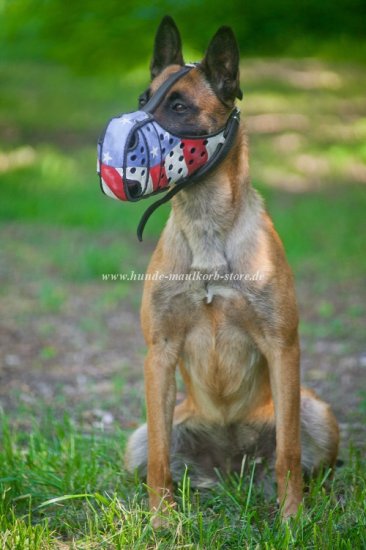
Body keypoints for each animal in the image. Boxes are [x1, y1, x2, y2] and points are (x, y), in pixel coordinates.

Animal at [123, 15, 340, 528]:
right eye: (143, 100)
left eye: (179, 106)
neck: (207, 227)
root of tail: (229, 470)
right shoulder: (159, 354)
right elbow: (160, 460)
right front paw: (161, 523)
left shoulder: (283, 348)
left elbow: (288, 455)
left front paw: (292, 521)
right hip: (139, 434)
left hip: (317, 411)